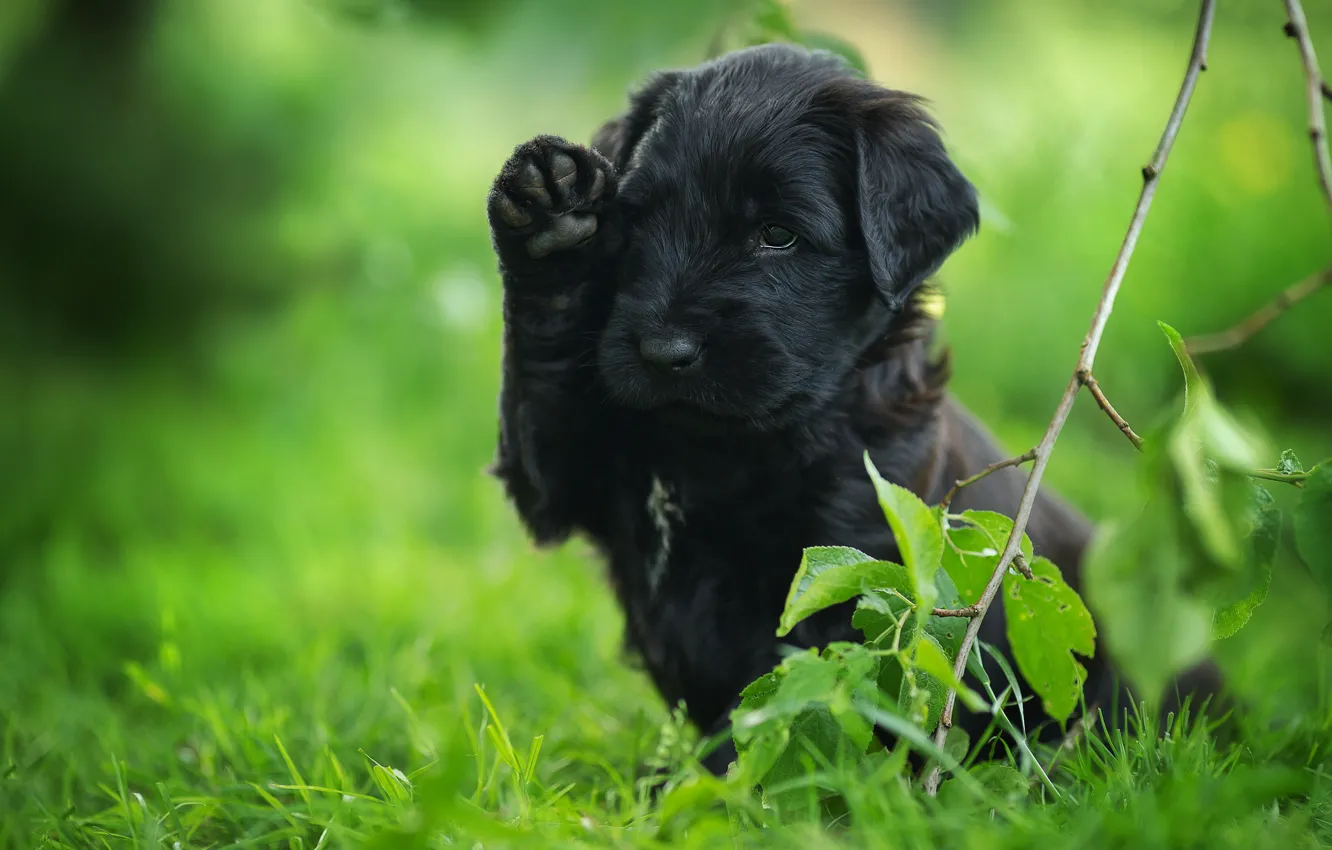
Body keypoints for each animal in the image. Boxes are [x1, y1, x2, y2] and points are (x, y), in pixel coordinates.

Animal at [490, 41, 1198, 772]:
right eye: (637, 222)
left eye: (777, 234)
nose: (663, 352)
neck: (721, 449)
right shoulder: (579, 474)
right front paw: (552, 220)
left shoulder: (851, 572)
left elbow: (773, 705)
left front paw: (680, 781)